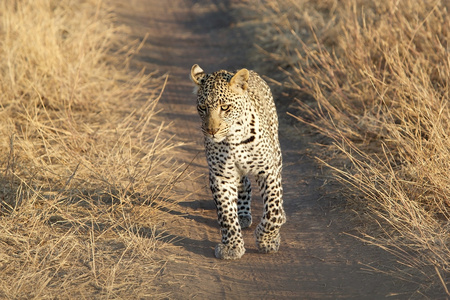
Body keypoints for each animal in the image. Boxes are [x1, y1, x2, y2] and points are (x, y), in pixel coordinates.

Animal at [190, 63, 284, 260]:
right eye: (202, 107)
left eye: (225, 107)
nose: (211, 131)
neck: (233, 140)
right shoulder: (222, 176)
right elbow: (226, 214)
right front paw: (231, 246)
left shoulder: (268, 171)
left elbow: (273, 211)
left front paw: (267, 240)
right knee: (244, 184)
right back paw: (242, 215)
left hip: (276, 152)